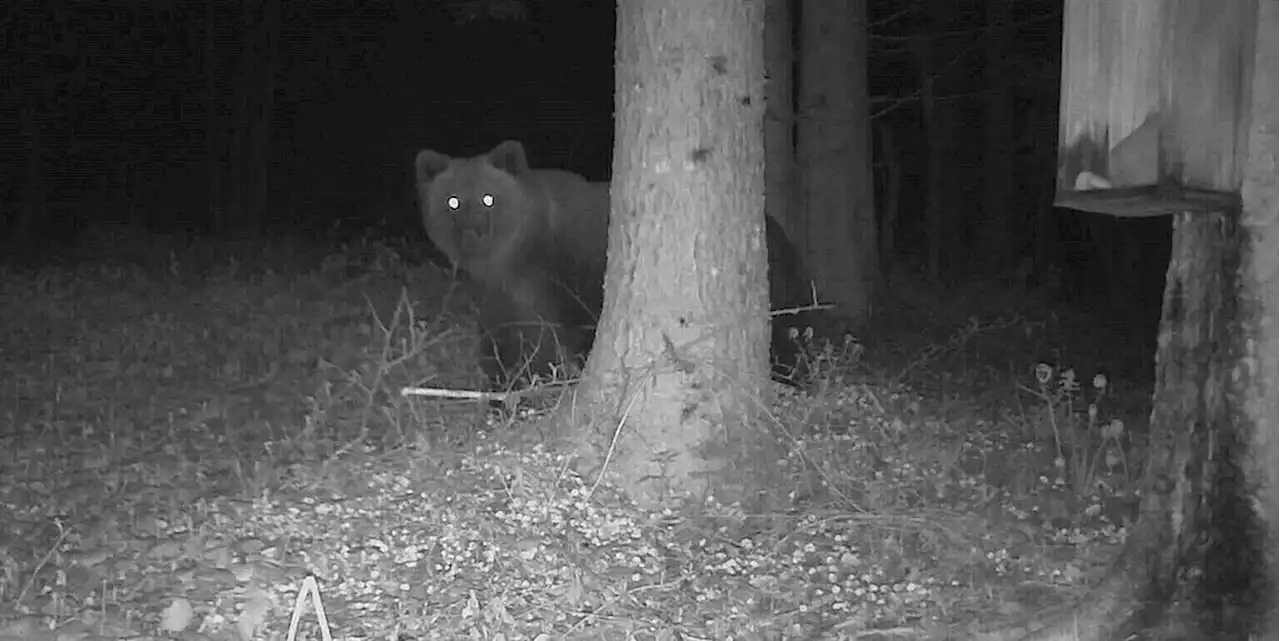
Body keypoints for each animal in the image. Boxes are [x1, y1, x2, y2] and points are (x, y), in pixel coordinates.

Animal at [417, 139, 819, 386]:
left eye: (488, 198)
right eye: (452, 201)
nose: (472, 235)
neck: (517, 256)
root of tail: (778, 230)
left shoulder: (564, 281)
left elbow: (550, 342)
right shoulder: (497, 296)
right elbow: (501, 345)